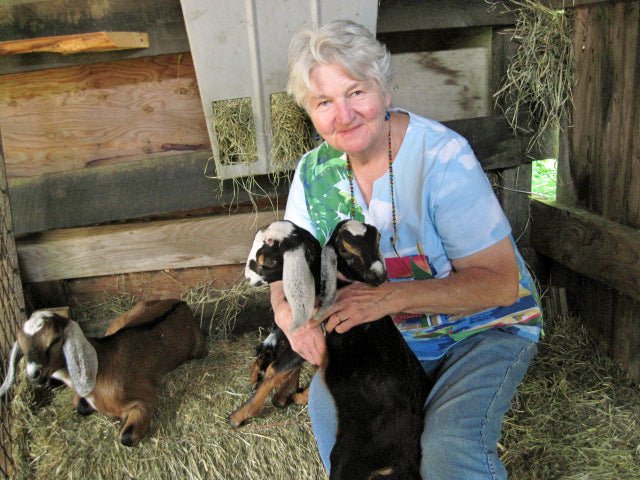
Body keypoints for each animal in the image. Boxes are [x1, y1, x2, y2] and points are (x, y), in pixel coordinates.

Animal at [0, 299, 207, 446]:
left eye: (56, 339)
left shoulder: (144, 399)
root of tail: (182, 303)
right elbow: (81, 407)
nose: (33, 373)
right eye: (22, 343)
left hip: (197, 350)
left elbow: (126, 437)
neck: (102, 365)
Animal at [237, 219, 430, 479]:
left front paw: (240, 415)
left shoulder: (305, 338)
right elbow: (291, 368)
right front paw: (284, 395)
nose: (247, 277)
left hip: (347, 459)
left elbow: (275, 371)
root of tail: (406, 457)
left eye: (268, 262)